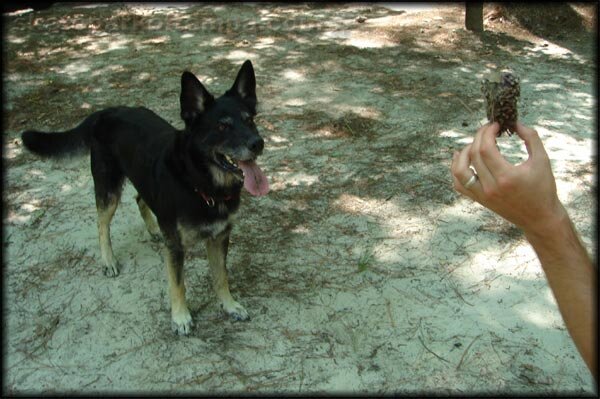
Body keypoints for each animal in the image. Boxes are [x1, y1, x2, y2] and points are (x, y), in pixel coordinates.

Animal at [21, 59, 270, 334]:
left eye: (250, 120)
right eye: (222, 126)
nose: (258, 143)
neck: (200, 182)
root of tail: (106, 112)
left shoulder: (219, 237)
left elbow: (221, 276)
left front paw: (229, 305)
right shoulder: (175, 247)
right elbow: (178, 284)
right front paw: (180, 317)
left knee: (140, 199)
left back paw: (152, 229)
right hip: (108, 191)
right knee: (102, 224)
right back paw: (108, 260)